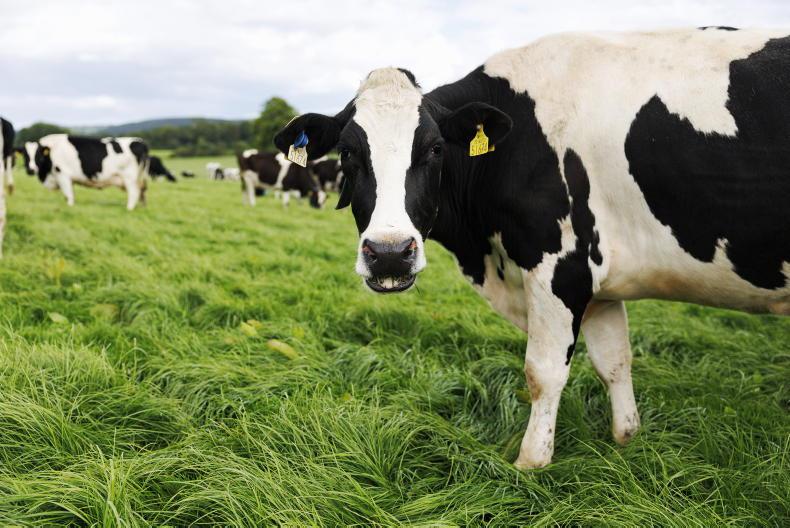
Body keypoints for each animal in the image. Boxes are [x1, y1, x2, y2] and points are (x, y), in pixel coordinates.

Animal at [21, 134, 149, 210]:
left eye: (38, 155)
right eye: (25, 155)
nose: (31, 169)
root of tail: (140, 141)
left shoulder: (62, 175)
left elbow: (68, 195)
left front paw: (69, 207)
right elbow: (69, 195)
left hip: (130, 178)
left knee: (134, 193)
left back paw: (129, 209)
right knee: (142, 192)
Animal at [275, 28, 790, 469]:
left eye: (436, 149)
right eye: (347, 153)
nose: (388, 253)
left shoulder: (560, 266)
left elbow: (543, 371)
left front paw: (530, 464)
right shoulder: (600, 281)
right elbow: (615, 361)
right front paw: (626, 440)